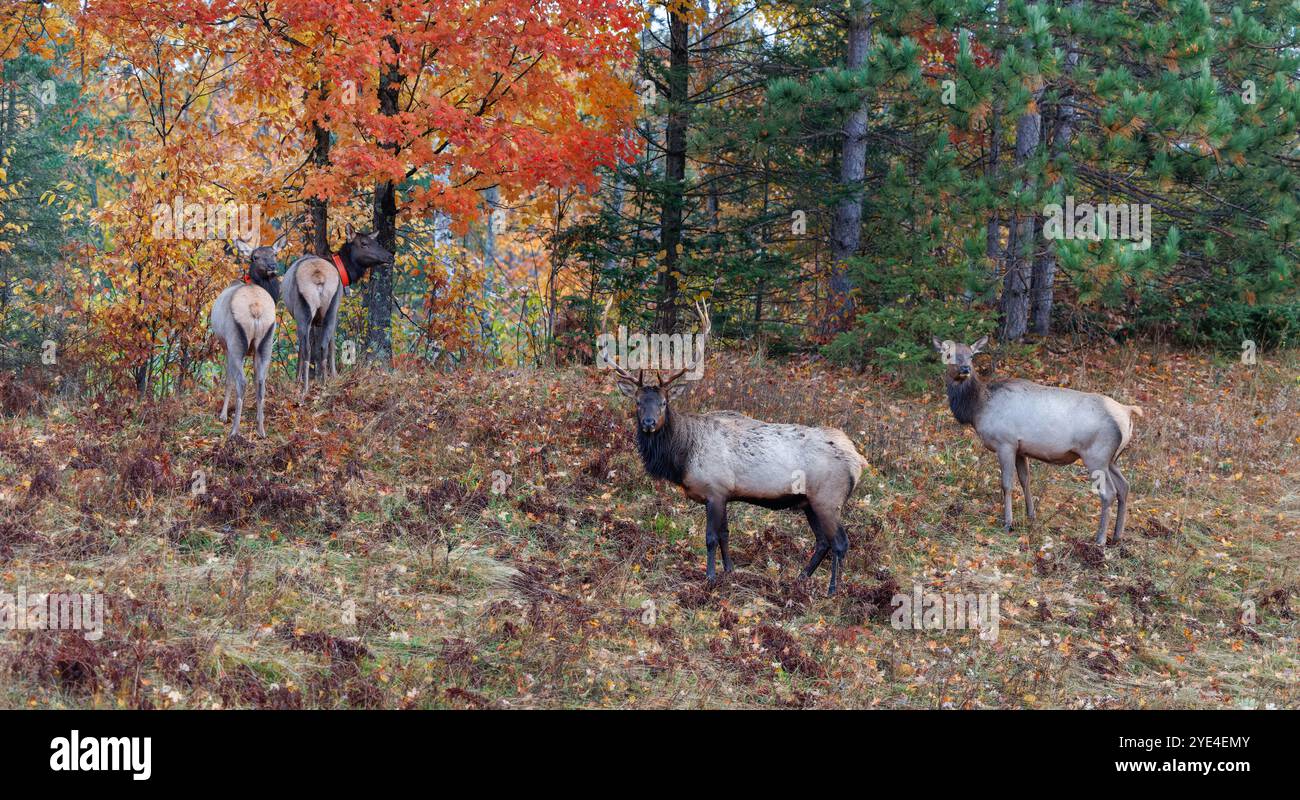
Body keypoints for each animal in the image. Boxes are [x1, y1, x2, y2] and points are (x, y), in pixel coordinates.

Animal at [603, 300, 868, 595]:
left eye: (663, 403)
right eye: (638, 402)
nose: (649, 423)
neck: (683, 456)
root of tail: (858, 461)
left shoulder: (715, 490)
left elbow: (710, 537)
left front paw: (709, 577)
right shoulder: (726, 493)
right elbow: (726, 534)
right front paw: (729, 571)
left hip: (828, 499)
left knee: (841, 542)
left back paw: (832, 590)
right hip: (809, 502)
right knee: (822, 541)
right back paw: (800, 578)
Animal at [930, 335, 1144, 548]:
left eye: (972, 355)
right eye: (948, 355)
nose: (965, 369)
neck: (977, 408)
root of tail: (1128, 412)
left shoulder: (1005, 442)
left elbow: (1007, 484)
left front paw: (1008, 523)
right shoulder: (1020, 449)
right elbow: (1025, 480)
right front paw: (1031, 515)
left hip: (1096, 455)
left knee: (1109, 493)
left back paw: (1099, 540)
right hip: (1112, 459)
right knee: (1124, 487)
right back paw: (1117, 536)